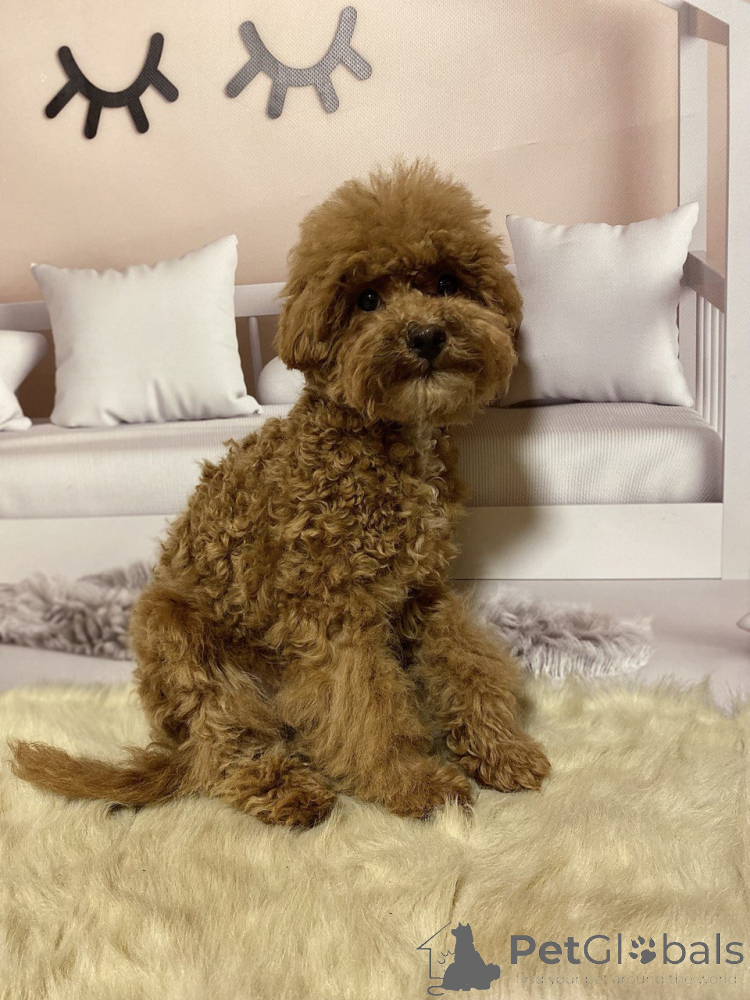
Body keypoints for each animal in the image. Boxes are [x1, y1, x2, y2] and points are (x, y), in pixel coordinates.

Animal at [11, 161, 550, 827]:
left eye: (448, 282)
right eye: (366, 299)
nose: (426, 335)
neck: (383, 442)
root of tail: (170, 750)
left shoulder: (422, 593)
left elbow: (466, 663)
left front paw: (501, 750)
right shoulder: (335, 616)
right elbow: (365, 708)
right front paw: (414, 782)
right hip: (183, 641)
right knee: (223, 746)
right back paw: (287, 789)